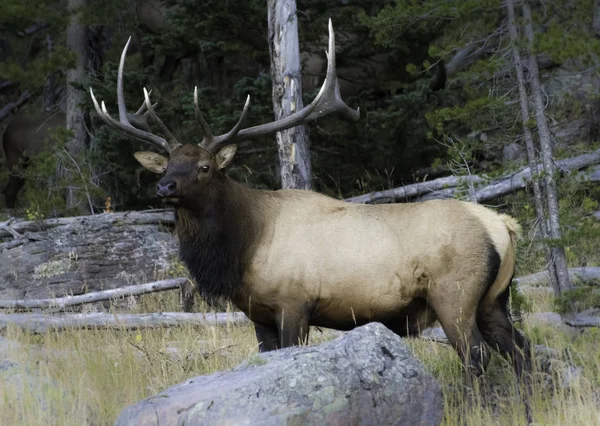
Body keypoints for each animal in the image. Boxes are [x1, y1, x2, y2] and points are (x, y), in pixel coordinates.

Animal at [91, 20, 532, 416]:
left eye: (204, 167)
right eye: (166, 165)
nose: (164, 187)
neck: (241, 249)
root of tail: (503, 226)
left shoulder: (294, 303)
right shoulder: (259, 314)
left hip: (454, 294)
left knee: (476, 356)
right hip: (494, 298)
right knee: (520, 348)